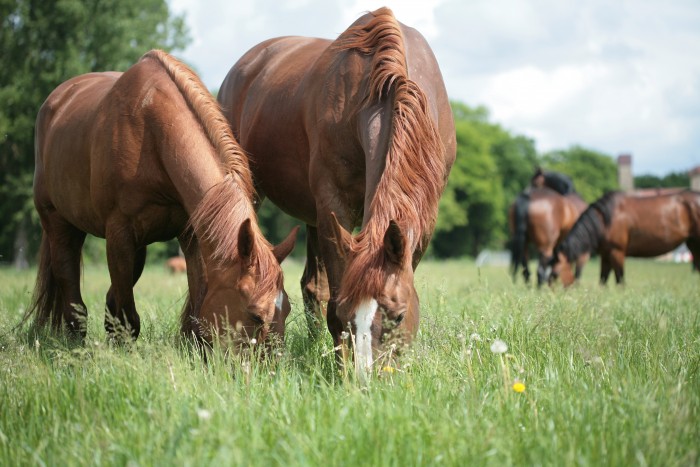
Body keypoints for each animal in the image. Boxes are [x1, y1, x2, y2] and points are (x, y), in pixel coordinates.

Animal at [25, 50, 296, 348]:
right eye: (256, 315)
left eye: (287, 310)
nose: (271, 362)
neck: (151, 133)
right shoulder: (118, 234)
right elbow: (127, 317)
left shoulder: (190, 237)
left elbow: (196, 304)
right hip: (58, 223)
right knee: (71, 288)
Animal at [220, 8, 460, 376]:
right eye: (350, 314)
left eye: (398, 316)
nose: (369, 378)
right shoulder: (334, 204)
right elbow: (333, 298)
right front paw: (341, 366)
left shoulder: (423, 220)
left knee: (311, 287)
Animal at [552, 190, 700, 286]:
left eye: (555, 273)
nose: (553, 293)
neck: (606, 220)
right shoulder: (606, 255)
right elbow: (603, 280)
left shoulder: (617, 252)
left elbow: (620, 280)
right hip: (693, 243)